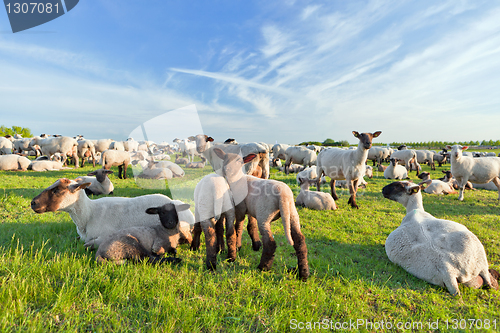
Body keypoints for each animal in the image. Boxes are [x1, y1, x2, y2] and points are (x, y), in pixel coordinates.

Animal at [214, 148, 308, 280]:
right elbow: (250, 225)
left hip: (264, 215)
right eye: (225, 159)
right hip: (292, 214)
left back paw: (263, 267)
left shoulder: (240, 209)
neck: (237, 180)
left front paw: (238, 246)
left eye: (239, 161)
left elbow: (238, 227)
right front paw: (253, 245)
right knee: (300, 241)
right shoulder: (251, 211)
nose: (227, 170)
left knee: (270, 243)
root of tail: (283, 195)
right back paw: (303, 273)